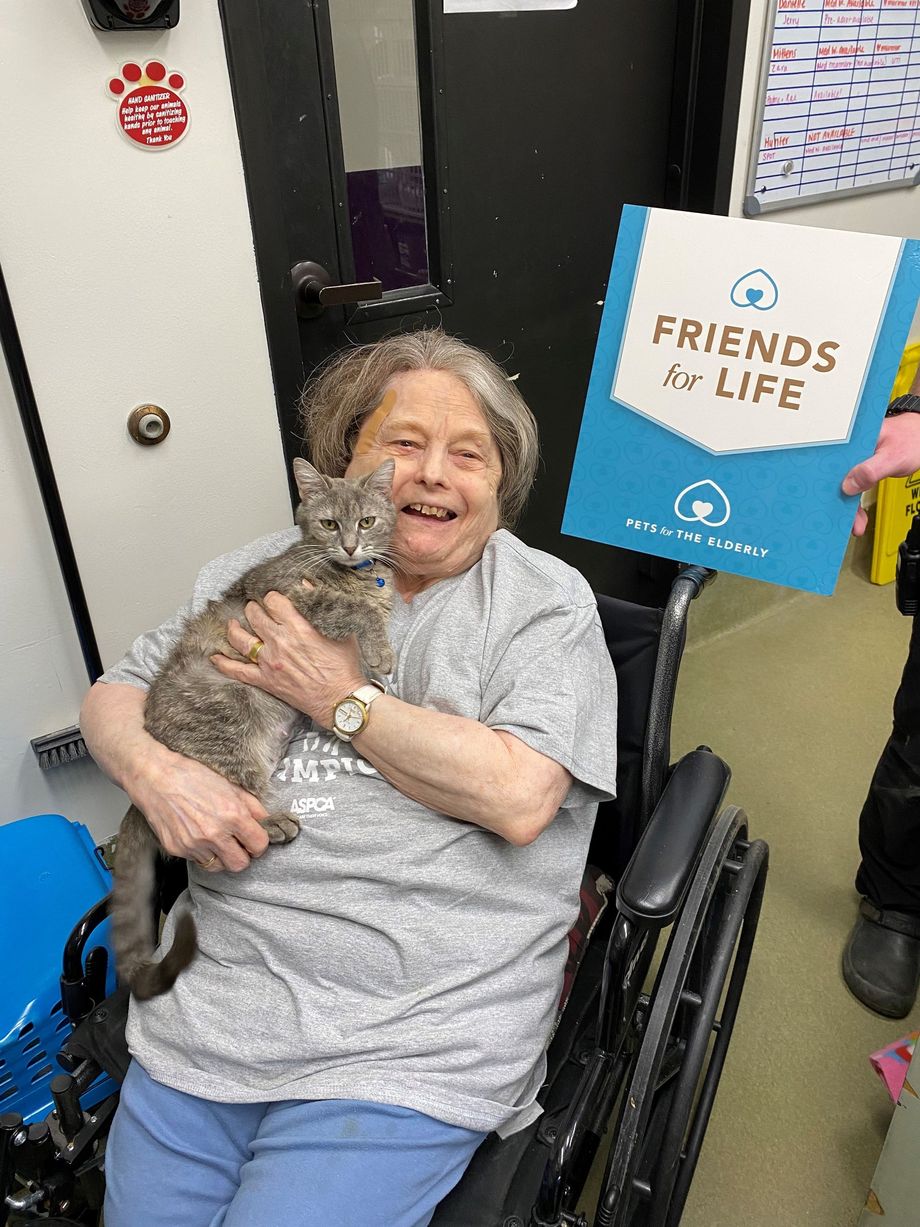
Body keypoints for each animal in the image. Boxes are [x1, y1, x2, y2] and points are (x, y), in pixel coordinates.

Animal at [111, 456, 397, 1001]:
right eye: (331, 524)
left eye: (367, 522)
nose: (352, 546)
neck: (351, 573)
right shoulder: (296, 603)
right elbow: (355, 610)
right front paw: (379, 649)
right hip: (229, 727)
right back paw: (273, 823)